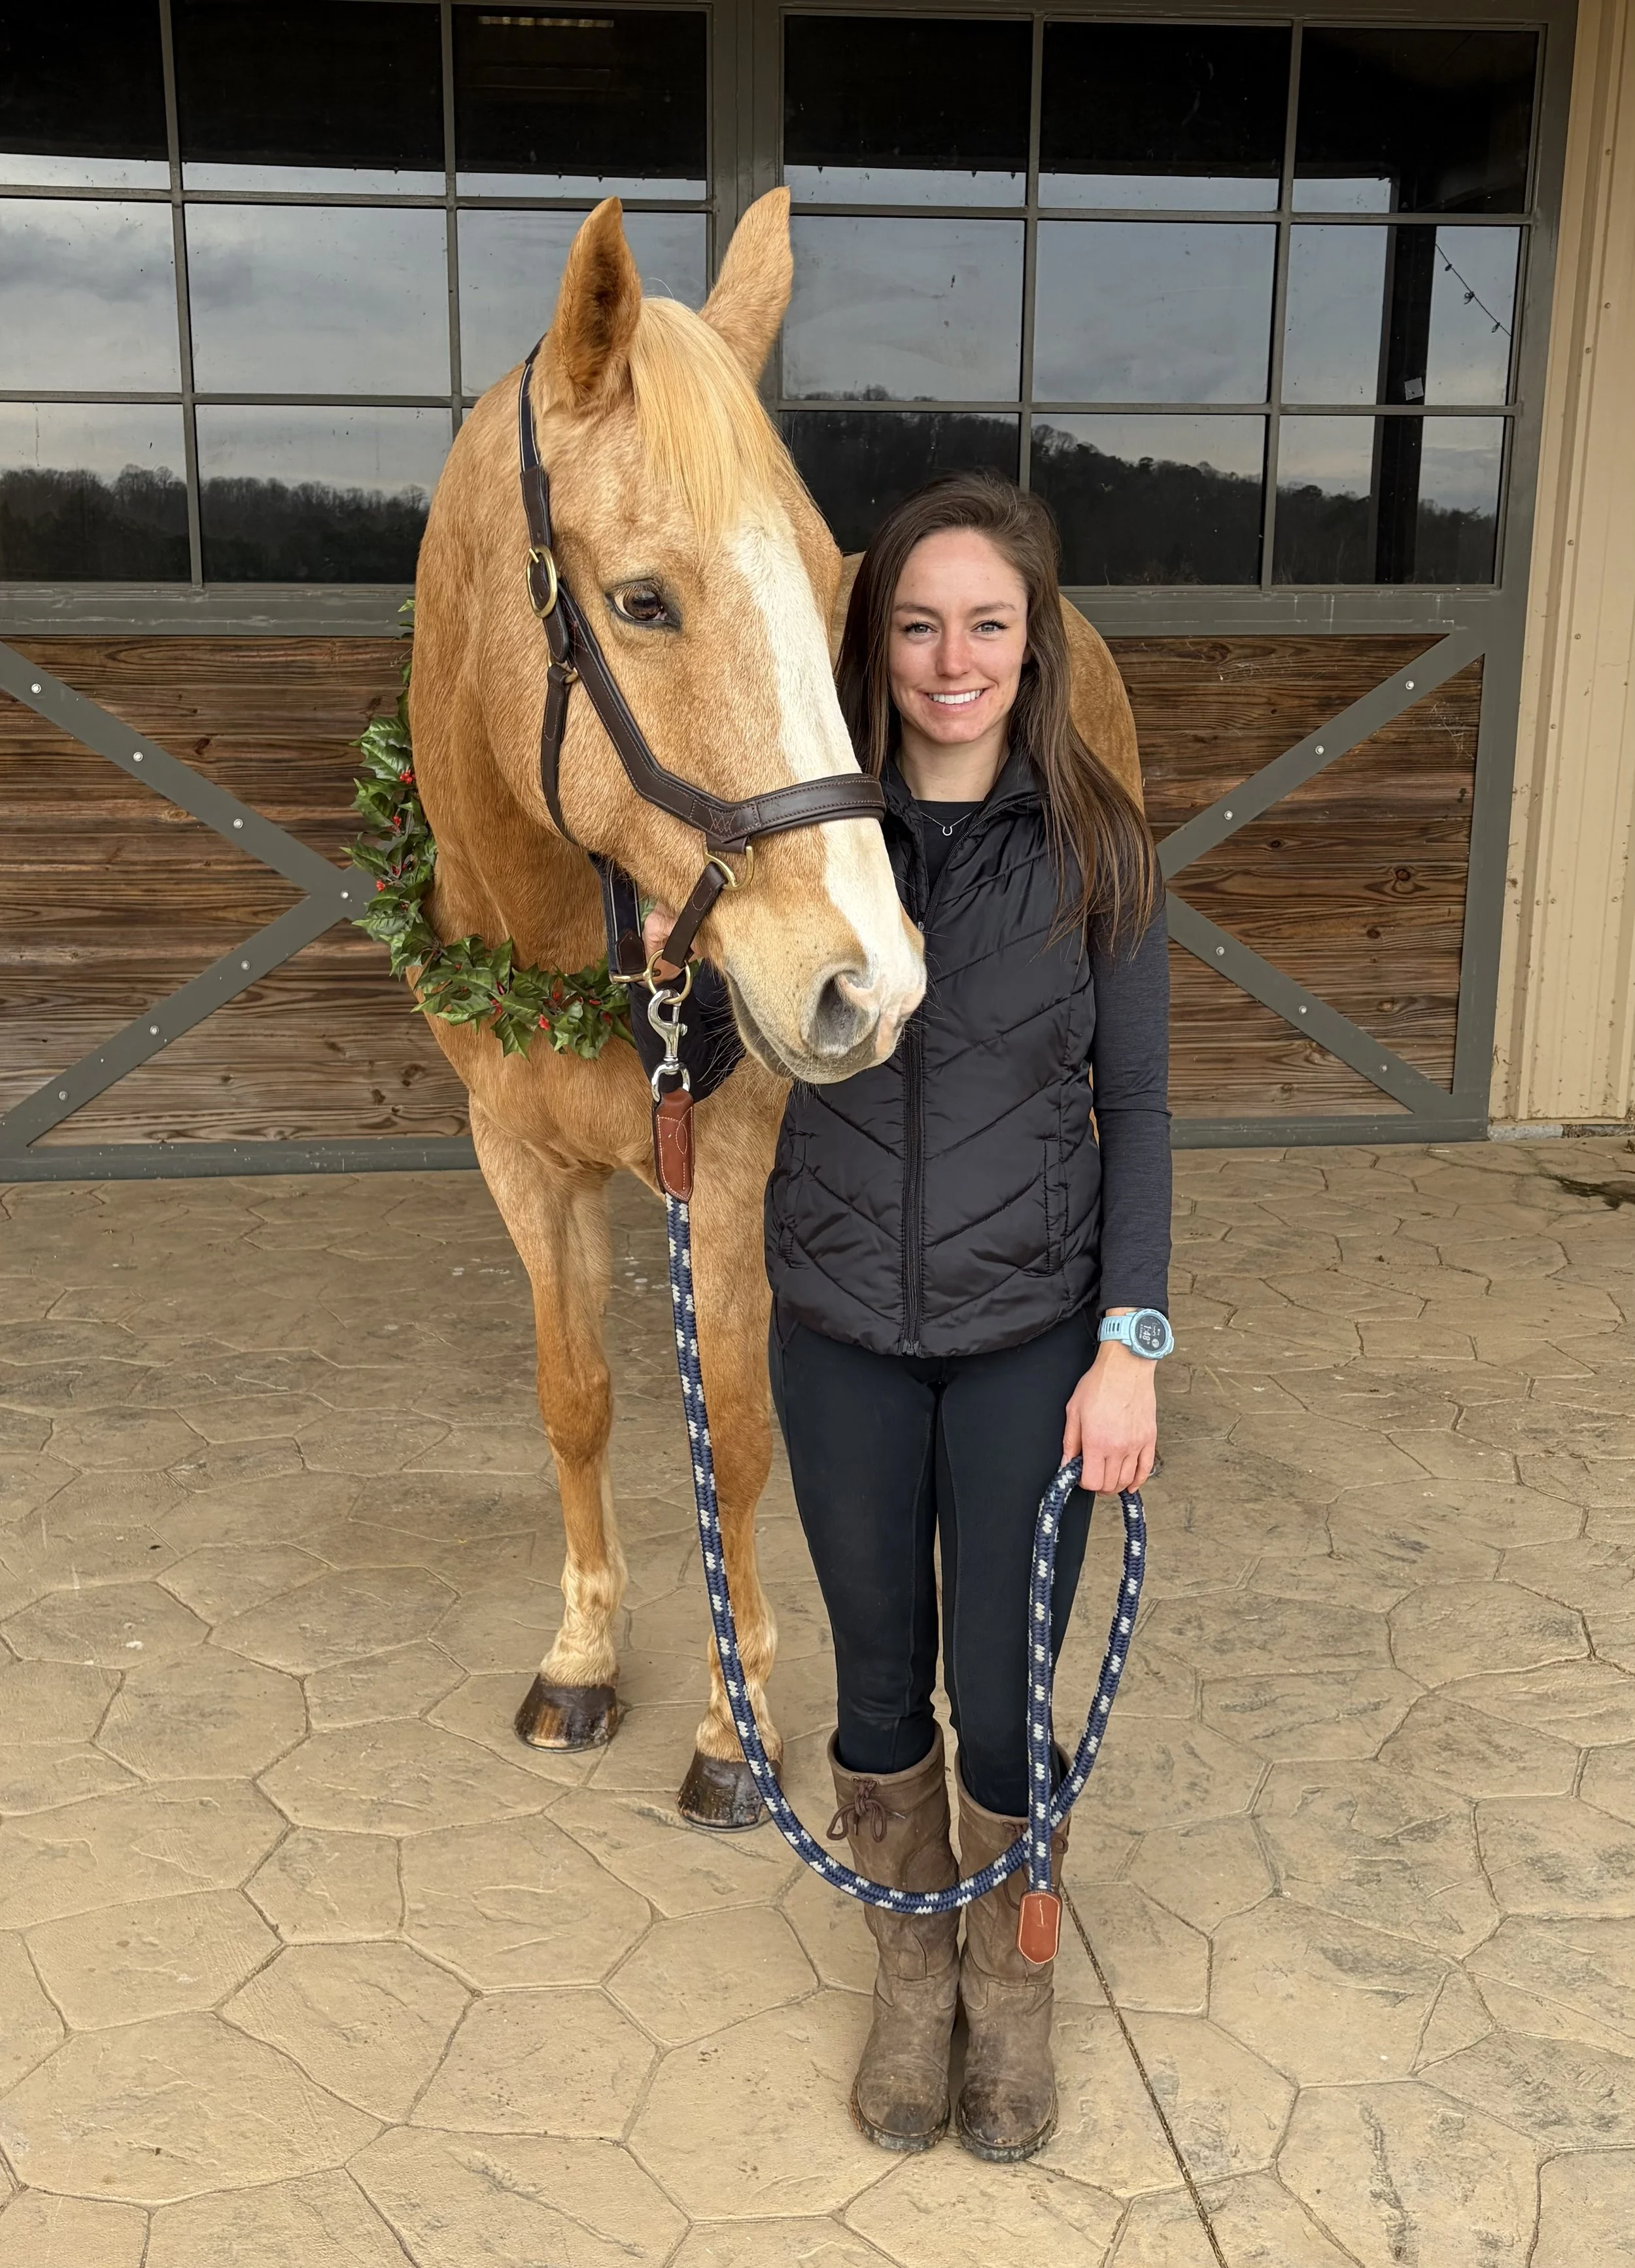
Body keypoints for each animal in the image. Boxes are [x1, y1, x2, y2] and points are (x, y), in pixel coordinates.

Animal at [409, 188, 1144, 1828]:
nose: (866, 979)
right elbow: (576, 1397)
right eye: (641, 600)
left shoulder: (735, 1171)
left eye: (822, 586)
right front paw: (583, 1654)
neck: (565, 937)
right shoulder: (520, 1161)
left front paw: (727, 1726)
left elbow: (739, 1434)